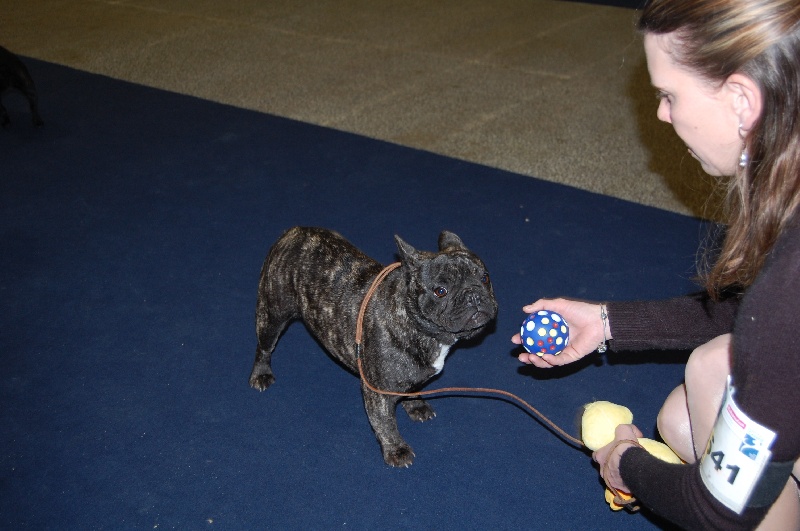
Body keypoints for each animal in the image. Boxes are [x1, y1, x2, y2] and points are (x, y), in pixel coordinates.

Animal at [250, 227, 498, 467]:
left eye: (485, 278)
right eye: (440, 291)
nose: (473, 295)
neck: (415, 323)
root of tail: (292, 232)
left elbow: (412, 387)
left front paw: (415, 405)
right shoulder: (377, 392)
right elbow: (385, 423)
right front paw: (396, 450)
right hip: (273, 315)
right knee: (264, 347)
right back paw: (261, 374)